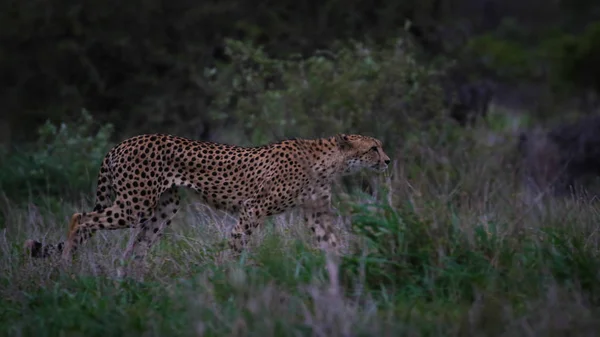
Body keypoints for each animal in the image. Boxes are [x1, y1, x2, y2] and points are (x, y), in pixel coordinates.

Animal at [23, 133, 392, 262]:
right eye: (373, 148)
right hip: (135, 205)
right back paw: (66, 267)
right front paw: (230, 276)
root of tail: (122, 142)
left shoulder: (316, 212)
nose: (388, 161)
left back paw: (130, 282)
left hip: (164, 207)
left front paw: (345, 270)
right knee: (80, 218)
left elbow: (333, 242)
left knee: (137, 246)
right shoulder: (253, 208)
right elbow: (238, 243)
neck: (328, 161)